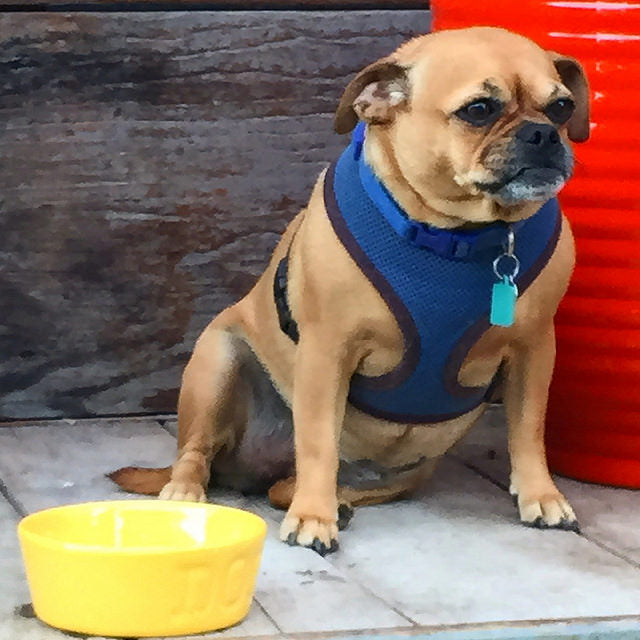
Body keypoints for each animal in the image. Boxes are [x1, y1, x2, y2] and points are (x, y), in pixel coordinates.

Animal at [110, 26, 592, 556]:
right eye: (479, 109)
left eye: (563, 107)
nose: (543, 133)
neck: (459, 237)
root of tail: (251, 470)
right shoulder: (327, 351)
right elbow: (318, 440)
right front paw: (313, 518)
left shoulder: (533, 349)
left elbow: (528, 430)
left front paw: (540, 495)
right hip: (218, 360)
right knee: (200, 452)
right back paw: (190, 492)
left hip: (408, 472)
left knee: (287, 487)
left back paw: (330, 500)